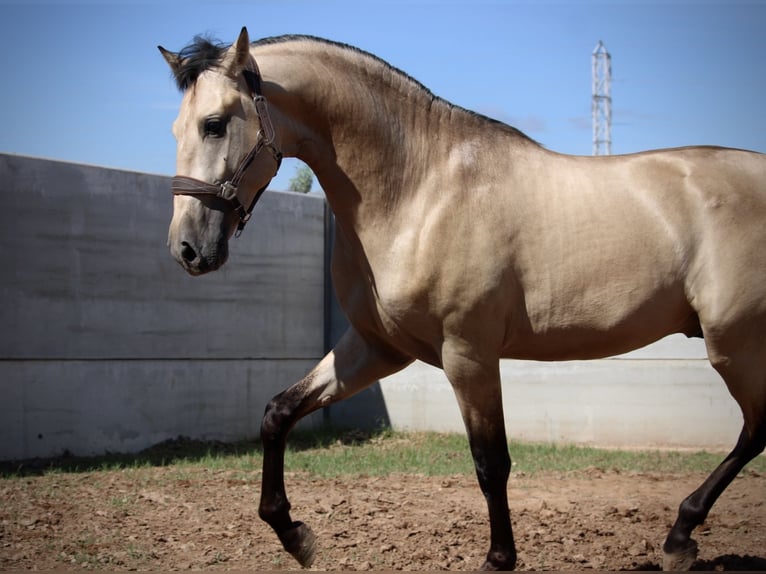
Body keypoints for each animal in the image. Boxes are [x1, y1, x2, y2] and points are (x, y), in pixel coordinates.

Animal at [158, 28, 766, 572]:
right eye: (176, 128)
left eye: (214, 125)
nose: (186, 249)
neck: (419, 191)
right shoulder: (376, 348)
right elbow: (278, 412)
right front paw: (294, 535)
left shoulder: (468, 354)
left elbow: (490, 463)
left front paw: (499, 559)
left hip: (735, 345)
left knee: (756, 430)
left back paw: (681, 536)